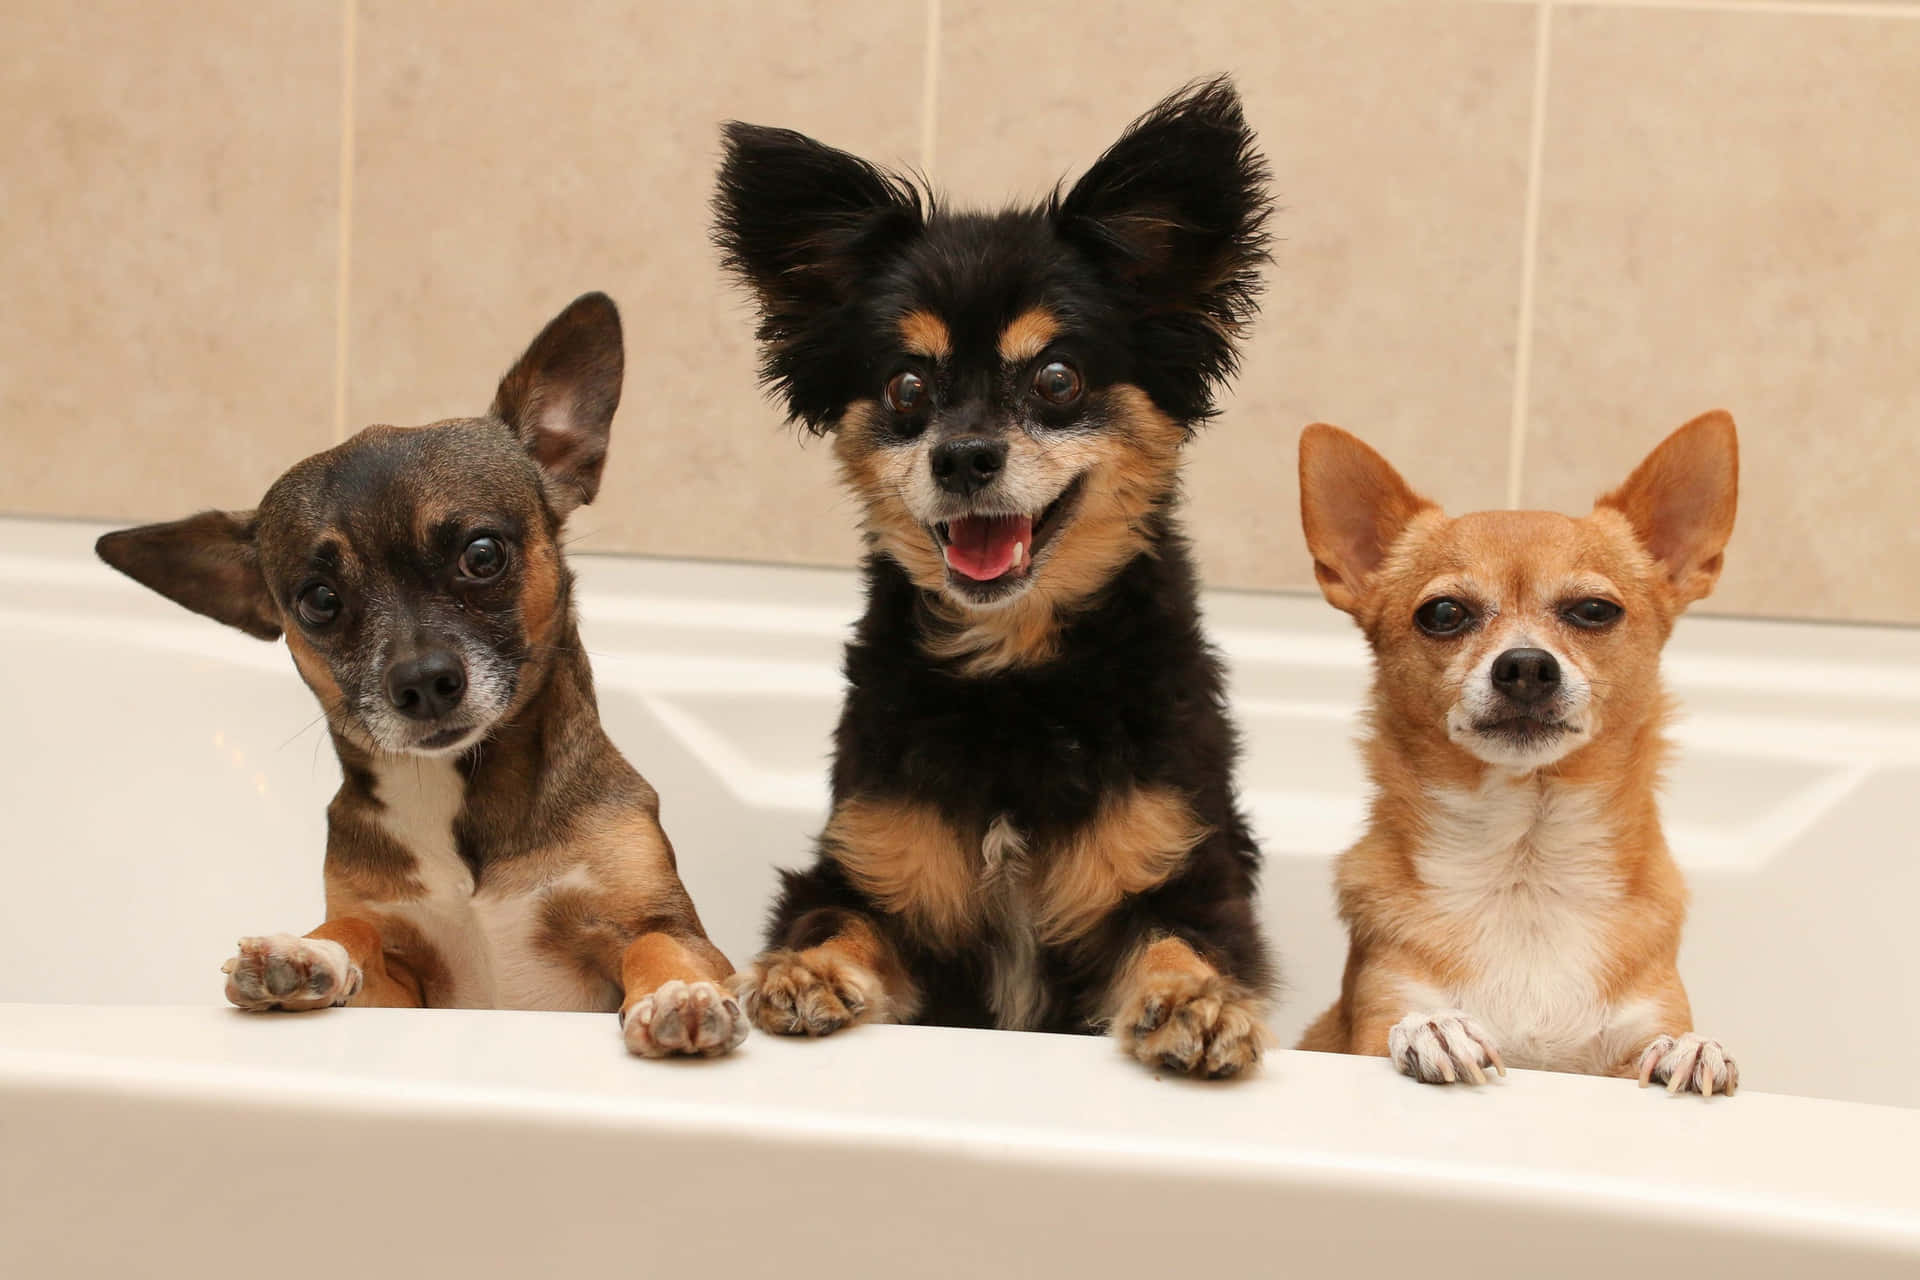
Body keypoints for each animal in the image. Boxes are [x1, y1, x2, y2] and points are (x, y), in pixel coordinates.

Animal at [93, 295, 744, 1059]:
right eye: (319, 600)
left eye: (482, 554)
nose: (424, 682)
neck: (461, 799)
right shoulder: (405, 987)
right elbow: (354, 929)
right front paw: (306, 952)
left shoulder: (662, 925)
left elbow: (659, 947)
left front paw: (678, 993)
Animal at [714, 75, 1282, 1074]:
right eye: (906, 387)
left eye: (1056, 378)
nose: (965, 457)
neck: (1016, 679)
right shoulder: (871, 868)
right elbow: (837, 920)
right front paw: (809, 970)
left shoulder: (1181, 867)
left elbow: (1183, 941)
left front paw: (1198, 1002)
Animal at [1305, 416, 1743, 1097]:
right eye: (1443, 613)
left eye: (1594, 611)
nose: (1527, 665)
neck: (1525, 871)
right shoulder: (1369, 1022)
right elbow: (1398, 1028)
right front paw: (1434, 1028)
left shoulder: (1635, 1031)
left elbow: (1657, 1045)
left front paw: (1690, 1048)